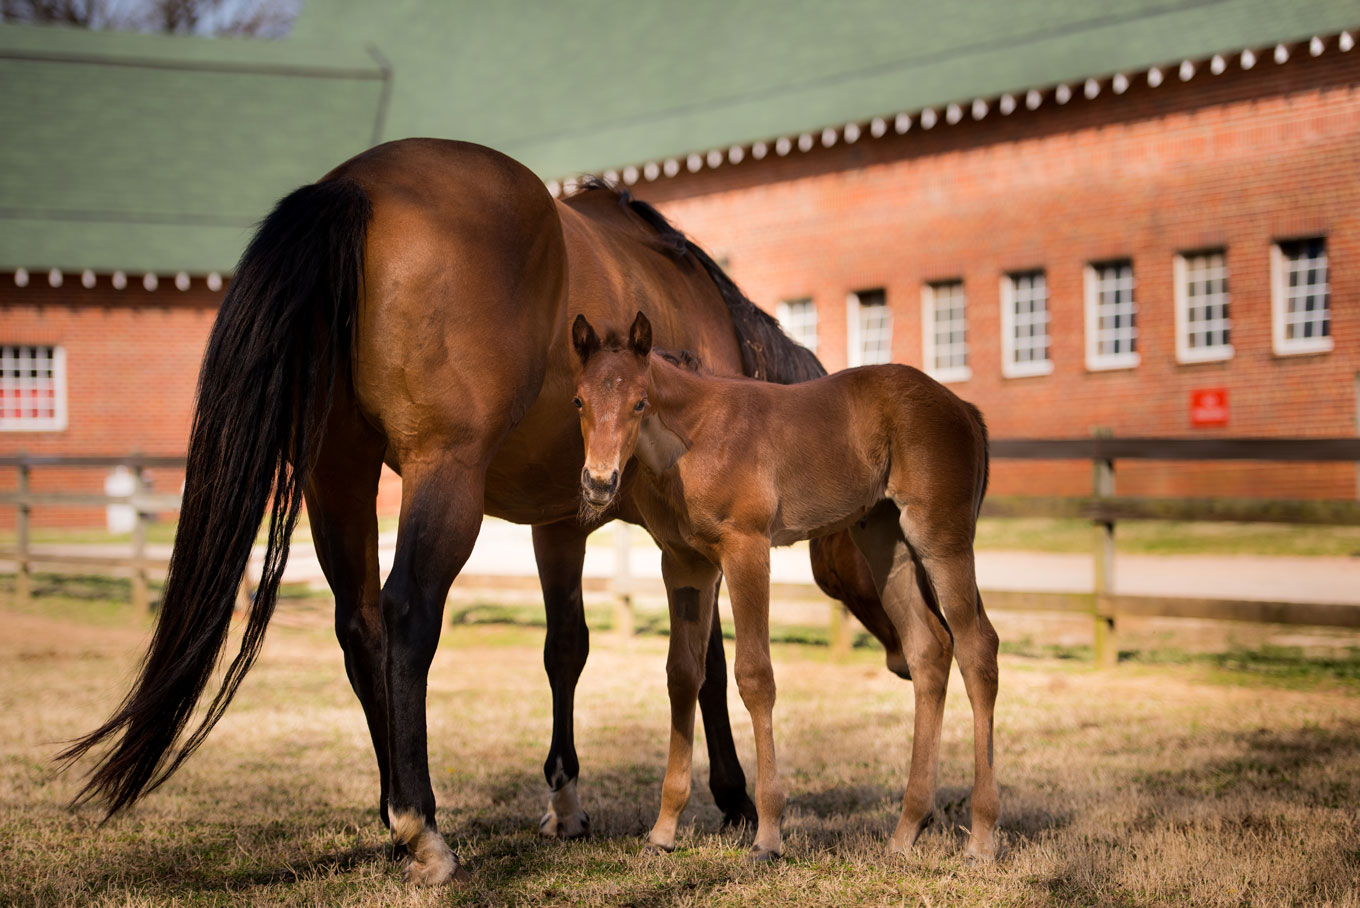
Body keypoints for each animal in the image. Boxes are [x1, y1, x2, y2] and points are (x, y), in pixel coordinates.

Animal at [568, 313, 1006, 864]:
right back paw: (905, 831)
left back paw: (983, 837)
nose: (598, 482)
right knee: (929, 649)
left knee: (977, 648)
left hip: (940, 539)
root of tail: (964, 409)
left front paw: (768, 834)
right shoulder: (685, 565)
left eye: (639, 402)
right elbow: (682, 676)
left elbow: (755, 676)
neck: (695, 437)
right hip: (886, 542)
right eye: (578, 401)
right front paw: (663, 830)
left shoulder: (746, 550)